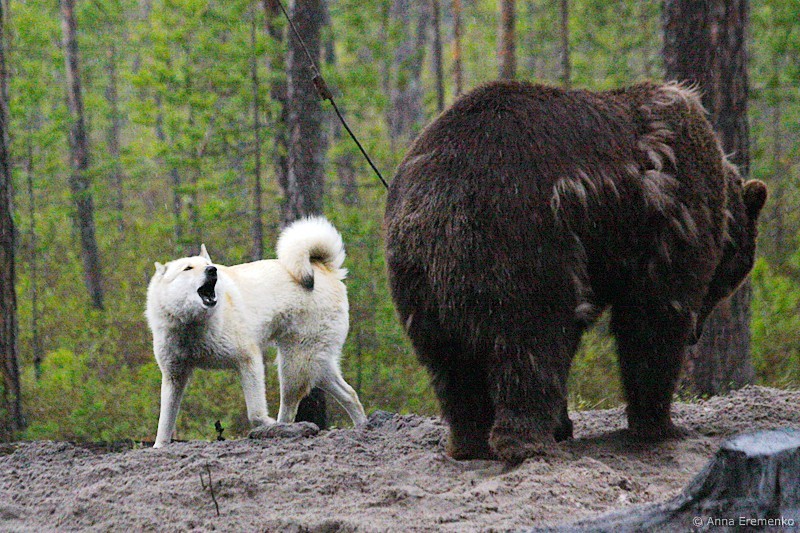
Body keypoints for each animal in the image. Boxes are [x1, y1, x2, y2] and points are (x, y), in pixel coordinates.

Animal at [146, 217, 367, 447]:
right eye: (187, 268)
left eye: (206, 265)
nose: (212, 270)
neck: (193, 325)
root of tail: (324, 268)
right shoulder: (174, 375)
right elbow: (165, 421)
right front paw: (159, 446)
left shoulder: (248, 359)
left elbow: (255, 414)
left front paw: (266, 423)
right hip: (315, 364)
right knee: (350, 394)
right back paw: (363, 426)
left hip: (294, 365)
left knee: (289, 408)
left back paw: (282, 427)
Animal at [384, 81, 767, 464]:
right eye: (732, 278)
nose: (696, 336)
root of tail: (435, 196)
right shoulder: (668, 220)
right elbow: (653, 318)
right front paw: (660, 425)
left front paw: (563, 423)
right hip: (520, 237)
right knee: (530, 338)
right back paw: (528, 443)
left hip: (419, 280)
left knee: (450, 365)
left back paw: (470, 443)